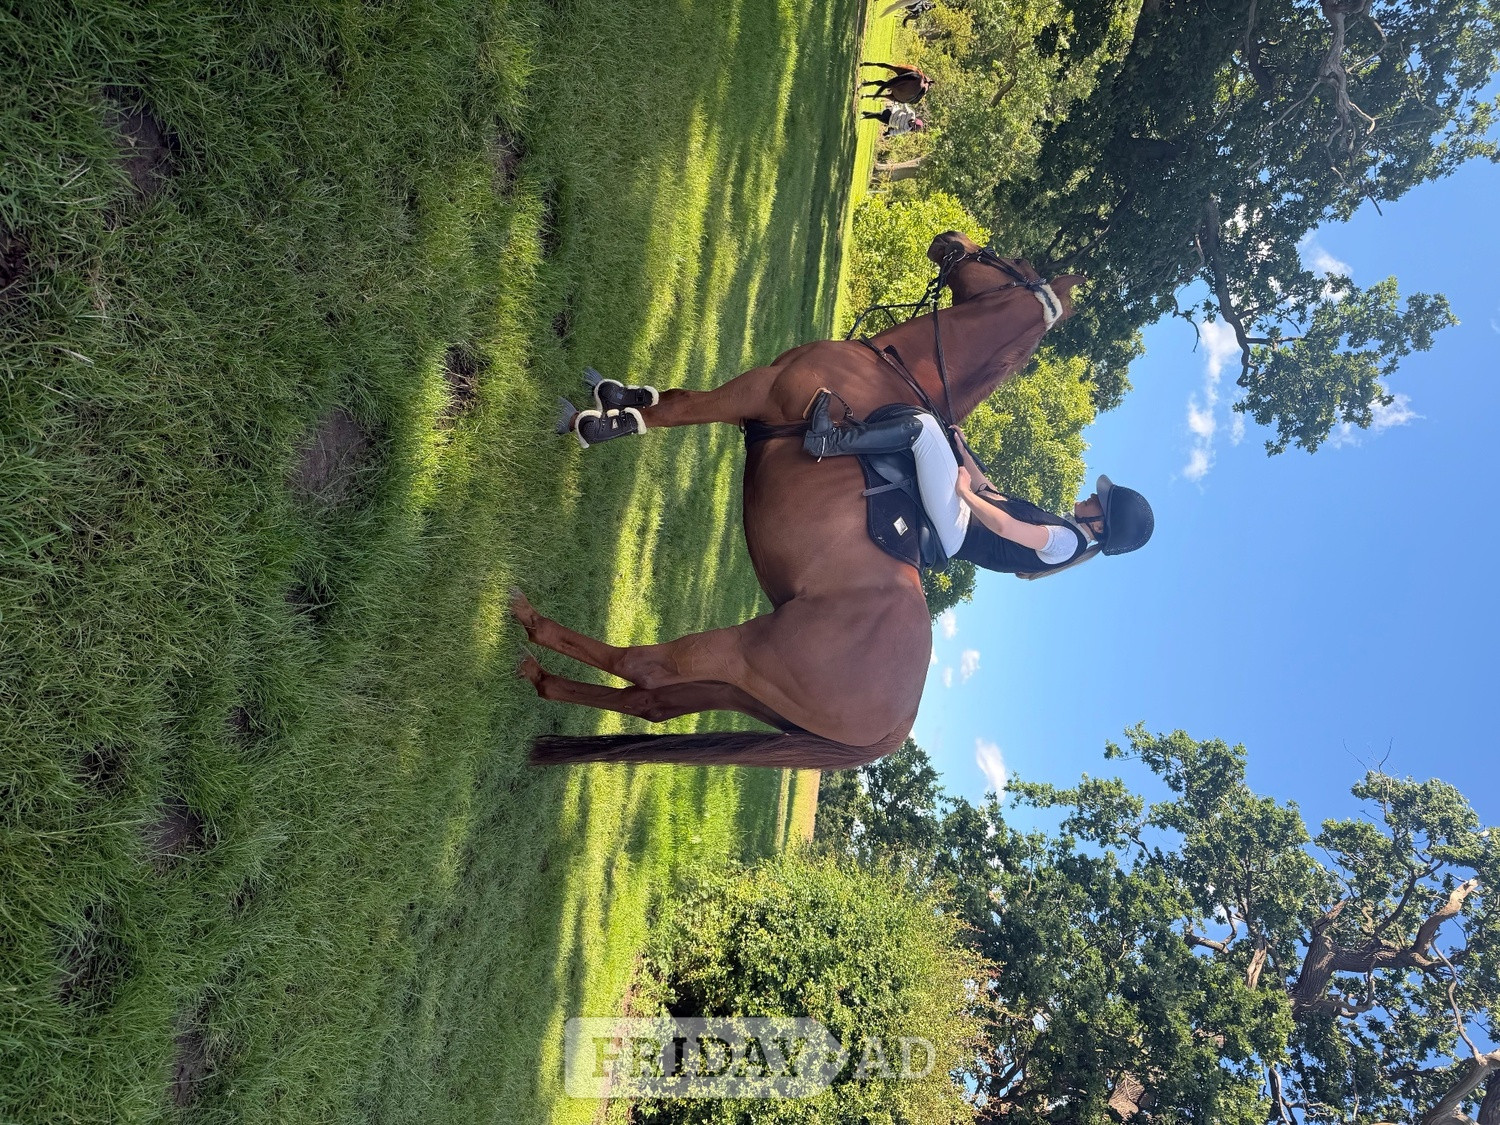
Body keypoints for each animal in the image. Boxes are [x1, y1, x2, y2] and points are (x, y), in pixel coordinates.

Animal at [513, 230, 1080, 769]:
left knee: (645, 668)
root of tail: (896, 728)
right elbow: (671, 399)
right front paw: (615, 398)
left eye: (1009, 261)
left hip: (745, 654)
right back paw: (542, 679)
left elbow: (676, 410)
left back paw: (532, 625)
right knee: (651, 702)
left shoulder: (757, 390)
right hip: (747, 692)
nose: (951, 239)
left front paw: (598, 423)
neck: (895, 372)